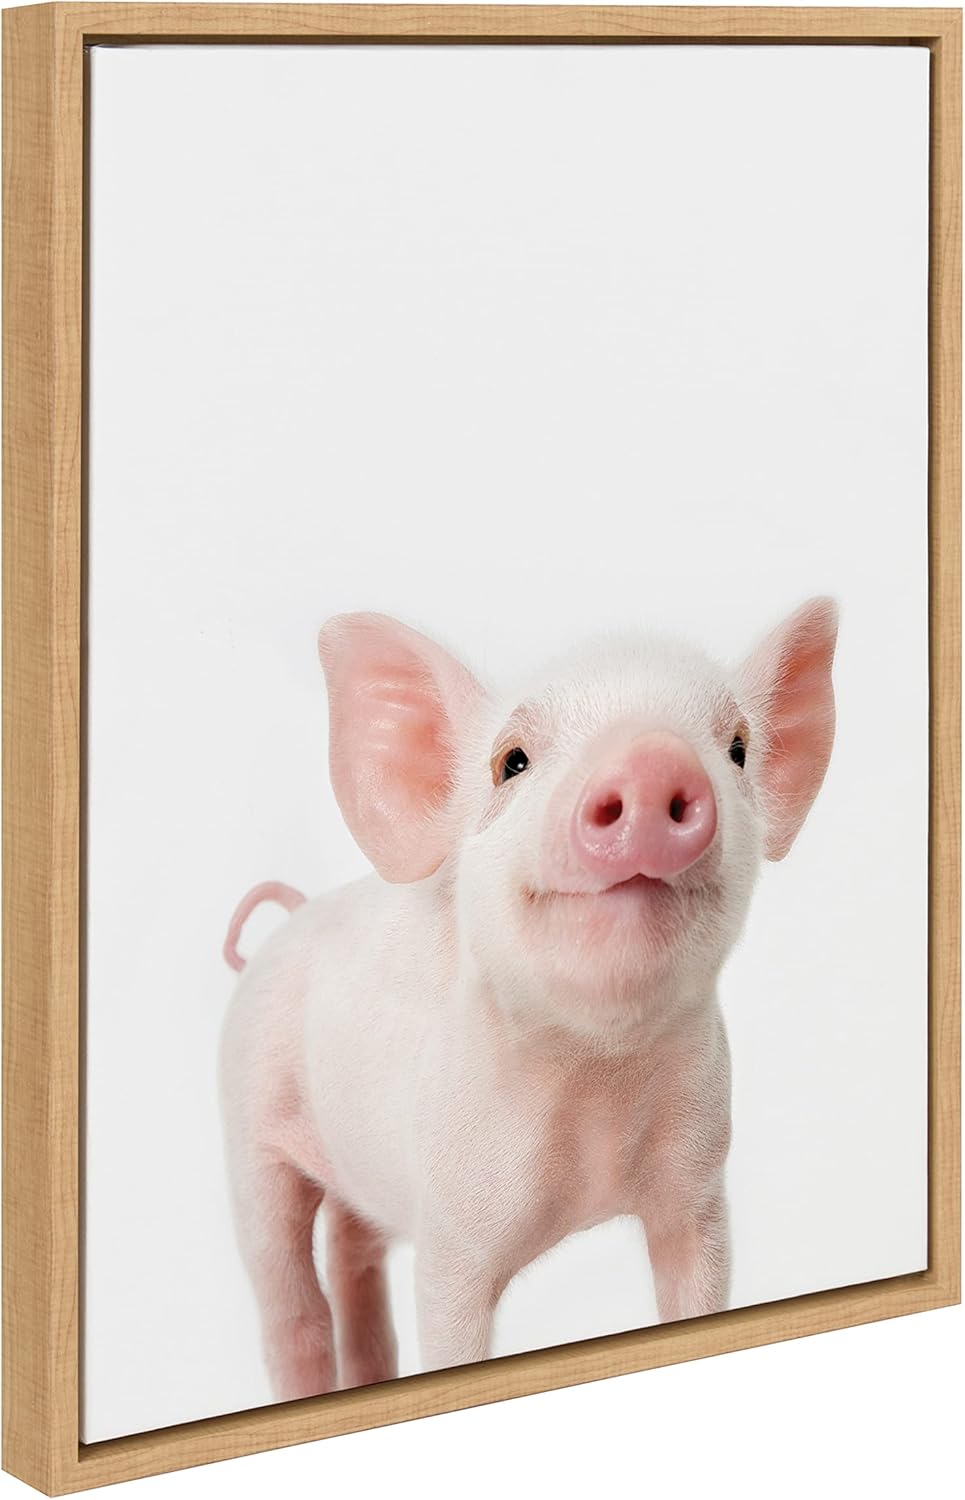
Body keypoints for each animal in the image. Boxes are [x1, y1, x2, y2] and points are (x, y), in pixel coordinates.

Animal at [220, 599, 837, 1399]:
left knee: (355, 1258)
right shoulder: (451, 1228)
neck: (597, 1080)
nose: (649, 759)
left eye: (735, 748)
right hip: (248, 1128)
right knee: (288, 1301)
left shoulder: (698, 1186)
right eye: (511, 761)